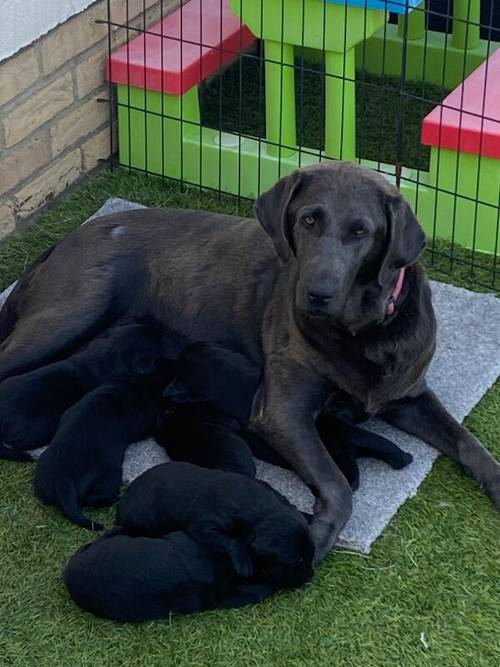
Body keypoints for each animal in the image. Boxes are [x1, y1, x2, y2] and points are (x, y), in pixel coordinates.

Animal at [115, 464, 314, 588]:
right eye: (298, 559)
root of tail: (122, 506)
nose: (310, 576)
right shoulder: (205, 524)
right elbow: (230, 539)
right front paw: (243, 560)